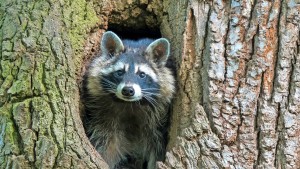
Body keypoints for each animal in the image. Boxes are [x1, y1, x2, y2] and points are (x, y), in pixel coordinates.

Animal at [83, 31, 175, 169]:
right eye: (120, 72)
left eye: (142, 74)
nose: (128, 90)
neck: (130, 104)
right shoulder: (102, 116)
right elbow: (106, 143)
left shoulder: (158, 120)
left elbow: (157, 147)